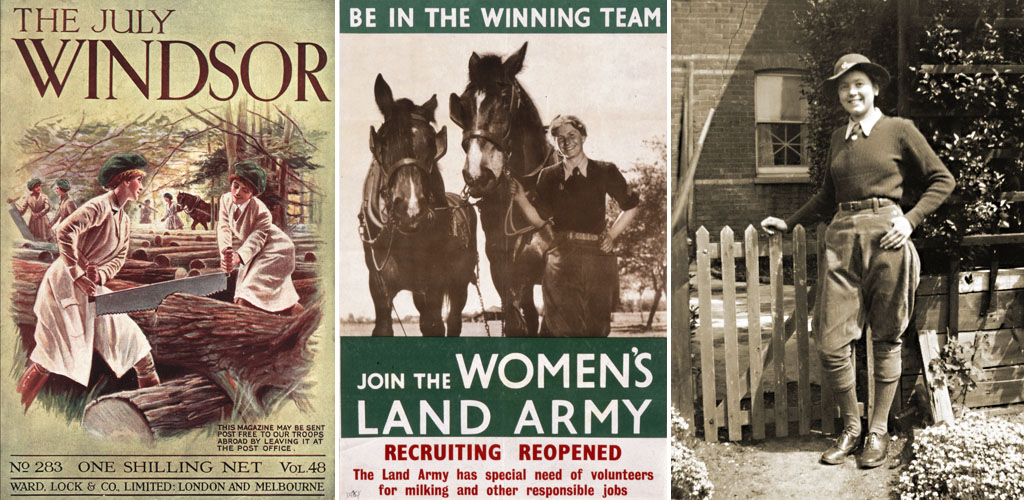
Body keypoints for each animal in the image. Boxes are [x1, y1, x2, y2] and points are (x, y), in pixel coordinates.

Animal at [358, 74, 477, 338]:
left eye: (433, 145)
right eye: (383, 143)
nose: (411, 212)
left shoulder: (434, 283)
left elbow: (433, 325)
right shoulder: (377, 284)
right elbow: (383, 326)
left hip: (460, 282)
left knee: (453, 320)